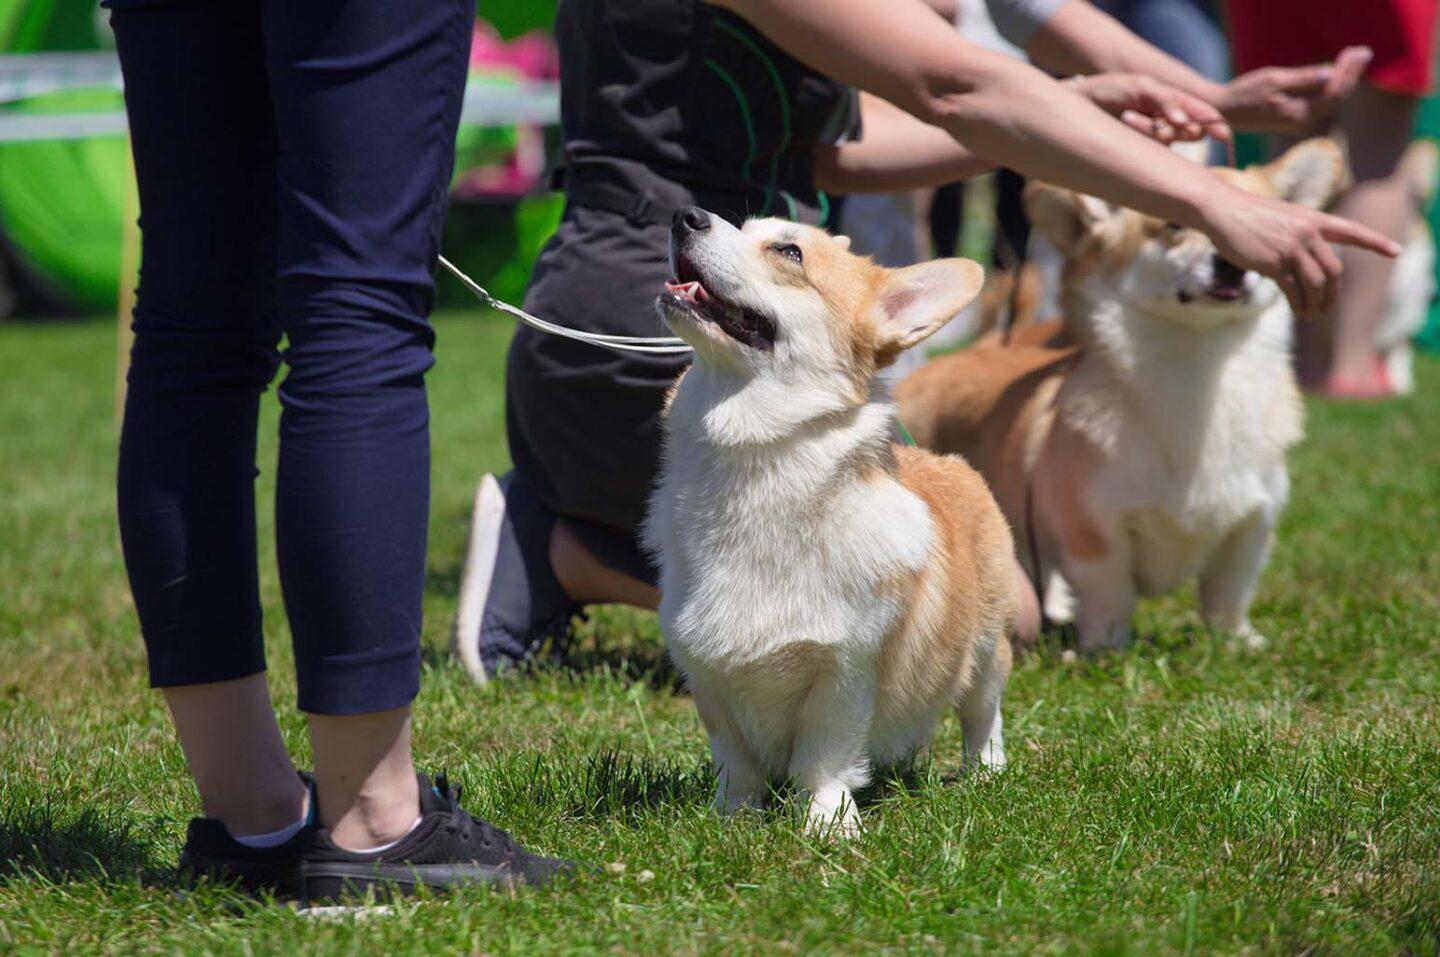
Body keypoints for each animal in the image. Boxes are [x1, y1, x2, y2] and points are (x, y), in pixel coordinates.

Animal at [648, 205, 1019, 834]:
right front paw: (730, 818)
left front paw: (828, 825)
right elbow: (735, 761)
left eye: (789, 252)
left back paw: (986, 774)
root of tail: (946, 460)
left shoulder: (845, 673)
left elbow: (822, 759)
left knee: (982, 714)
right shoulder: (706, 672)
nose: (686, 214)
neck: (755, 465)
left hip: (987, 647)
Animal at [898, 138, 1347, 653]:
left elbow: (1229, 592)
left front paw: (1237, 642)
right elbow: (1109, 593)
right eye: (1174, 224)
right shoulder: (1093, 531)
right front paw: (1106, 649)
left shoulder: (1252, 524)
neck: (1197, 363)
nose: (1231, 263)